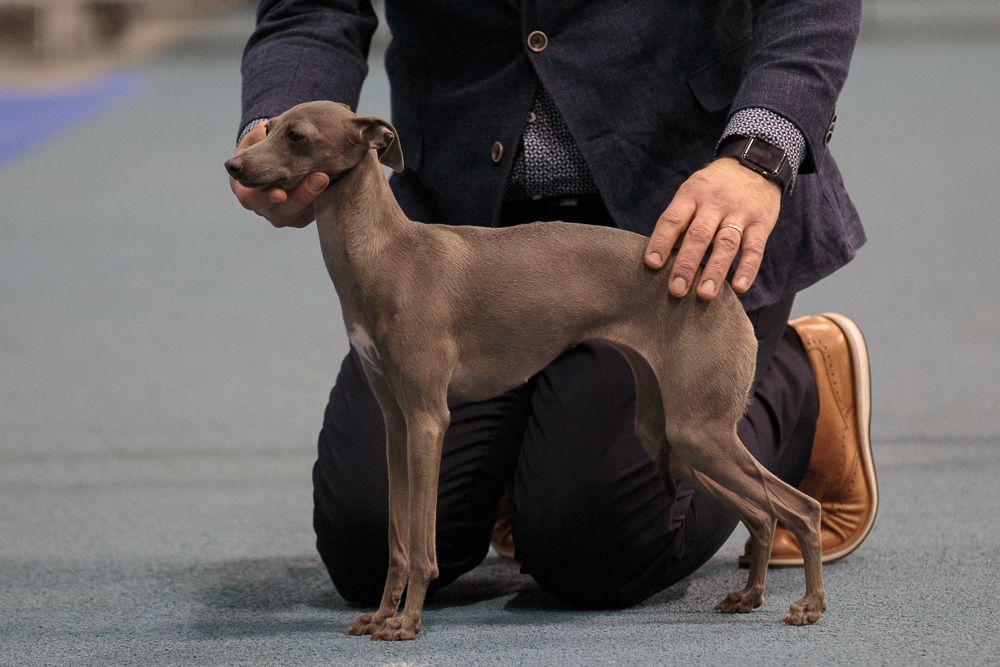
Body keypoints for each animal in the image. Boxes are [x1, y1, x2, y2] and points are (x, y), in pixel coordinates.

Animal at [227, 100, 828, 640]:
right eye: (269, 127)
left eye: (298, 136)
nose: (233, 166)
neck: (388, 257)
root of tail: (721, 288)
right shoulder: (395, 424)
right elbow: (397, 538)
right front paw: (381, 615)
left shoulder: (428, 419)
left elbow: (421, 543)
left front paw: (408, 622)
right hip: (672, 434)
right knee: (763, 512)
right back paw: (749, 595)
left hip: (697, 430)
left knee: (800, 507)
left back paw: (809, 603)